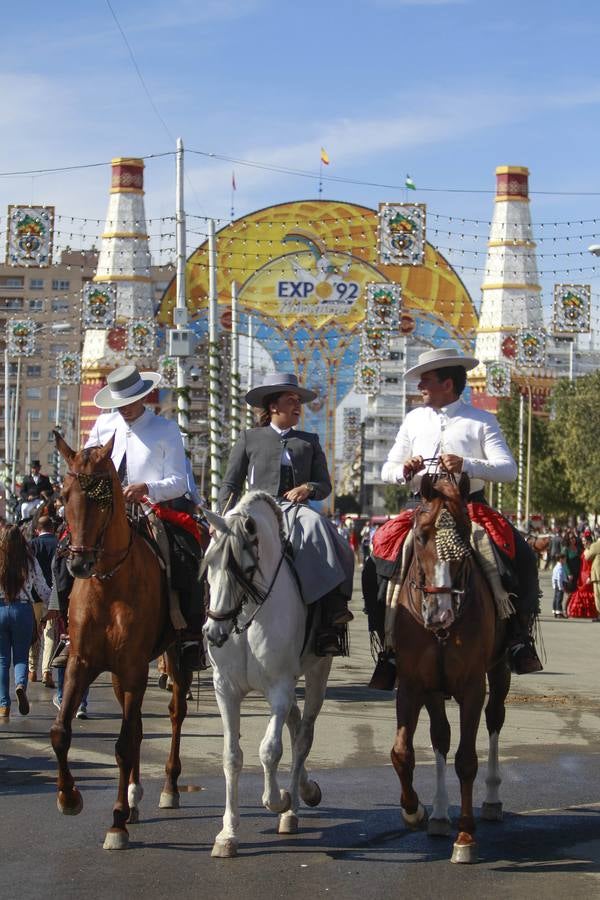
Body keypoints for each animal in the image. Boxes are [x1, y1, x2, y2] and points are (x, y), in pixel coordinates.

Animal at [51, 434, 195, 852]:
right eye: (64, 495)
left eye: (103, 498)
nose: (78, 565)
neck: (108, 584)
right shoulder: (82, 663)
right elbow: (61, 732)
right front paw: (69, 797)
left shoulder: (133, 668)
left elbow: (123, 743)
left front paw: (116, 822)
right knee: (140, 726)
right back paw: (133, 796)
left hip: (173, 656)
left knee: (175, 713)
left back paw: (168, 786)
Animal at [203, 492, 332, 856]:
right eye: (210, 564)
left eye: (246, 569)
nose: (213, 632)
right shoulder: (226, 690)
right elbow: (232, 756)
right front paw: (227, 834)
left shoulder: (279, 688)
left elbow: (269, 750)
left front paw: (280, 800)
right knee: (295, 722)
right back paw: (305, 789)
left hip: (317, 673)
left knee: (303, 736)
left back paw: (293, 810)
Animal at [390, 472, 510, 864]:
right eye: (421, 535)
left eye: (464, 532)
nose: (440, 612)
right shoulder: (414, 685)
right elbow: (403, 752)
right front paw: (414, 811)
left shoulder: (473, 686)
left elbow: (467, 759)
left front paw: (466, 836)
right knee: (440, 736)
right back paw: (440, 815)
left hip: (500, 671)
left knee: (495, 719)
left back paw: (491, 800)